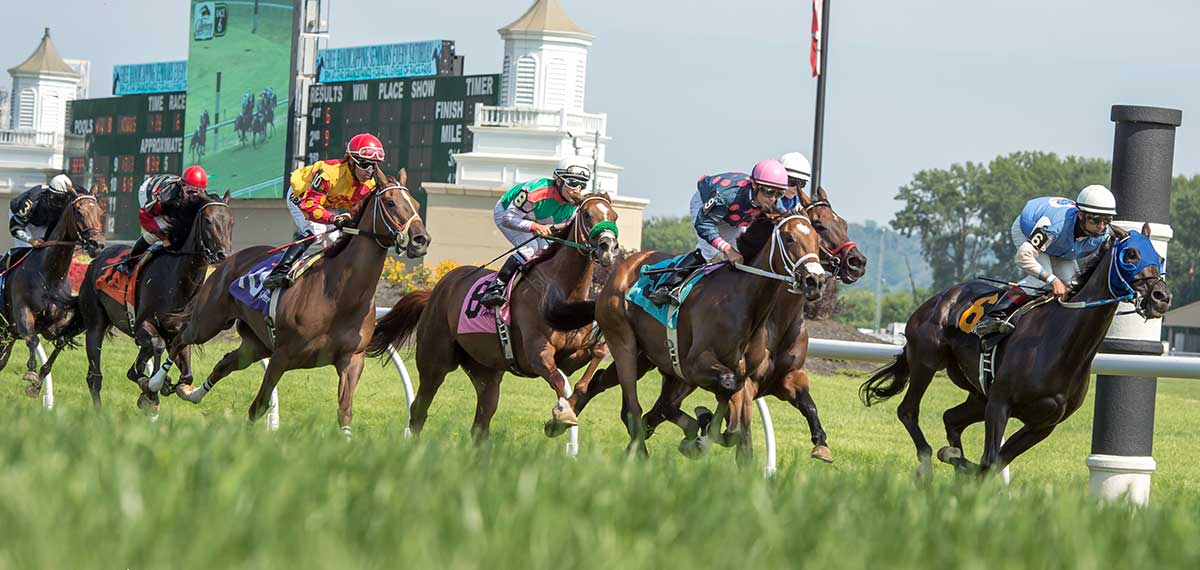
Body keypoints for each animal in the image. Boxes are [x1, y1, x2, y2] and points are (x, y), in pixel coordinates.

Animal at [0, 189, 106, 396]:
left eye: (100, 212)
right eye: (79, 212)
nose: (97, 244)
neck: (49, 275)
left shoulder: (55, 324)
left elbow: (61, 342)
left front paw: (36, 385)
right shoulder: (22, 313)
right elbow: (32, 339)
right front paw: (31, 373)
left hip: (7, 337)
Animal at [78, 191, 234, 411]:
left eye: (231, 222)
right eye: (208, 221)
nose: (223, 254)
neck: (176, 282)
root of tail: (98, 257)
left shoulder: (179, 332)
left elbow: (186, 375)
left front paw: (164, 385)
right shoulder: (142, 325)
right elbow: (156, 346)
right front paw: (152, 390)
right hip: (95, 324)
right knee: (94, 376)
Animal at [152, 170, 428, 433]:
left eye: (415, 202)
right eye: (391, 202)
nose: (421, 240)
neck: (339, 296)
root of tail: (228, 260)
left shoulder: (352, 360)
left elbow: (344, 413)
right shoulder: (282, 357)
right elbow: (259, 406)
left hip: (256, 343)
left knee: (225, 362)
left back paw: (191, 393)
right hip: (209, 322)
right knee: (181, 337)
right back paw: (155, 384)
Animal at [366, 193, 620, 441]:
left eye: (614, 216)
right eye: (587, 215)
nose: (608, 247)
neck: (560, 294)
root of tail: (435, 291)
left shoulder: (568, 358)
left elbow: (592, 358)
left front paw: (566, 411)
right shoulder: (536, 355)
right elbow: (557, 379)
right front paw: (562, 416)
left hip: (485, 371)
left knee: (481, 424)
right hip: (435, 361)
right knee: (419, 408)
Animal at [860, 223, 1170, 477]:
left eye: (1159, 257)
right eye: (1130, 255)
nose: (1161, 297)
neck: (1061, 345)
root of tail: (937, 299)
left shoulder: (1043, 424)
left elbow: (993, 464)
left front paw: (962, 468)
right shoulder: (1000, 404)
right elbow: (988, 461)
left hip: (978, 394)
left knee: (951, 419)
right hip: (927, 361)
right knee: (908, 411)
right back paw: (926, 461)